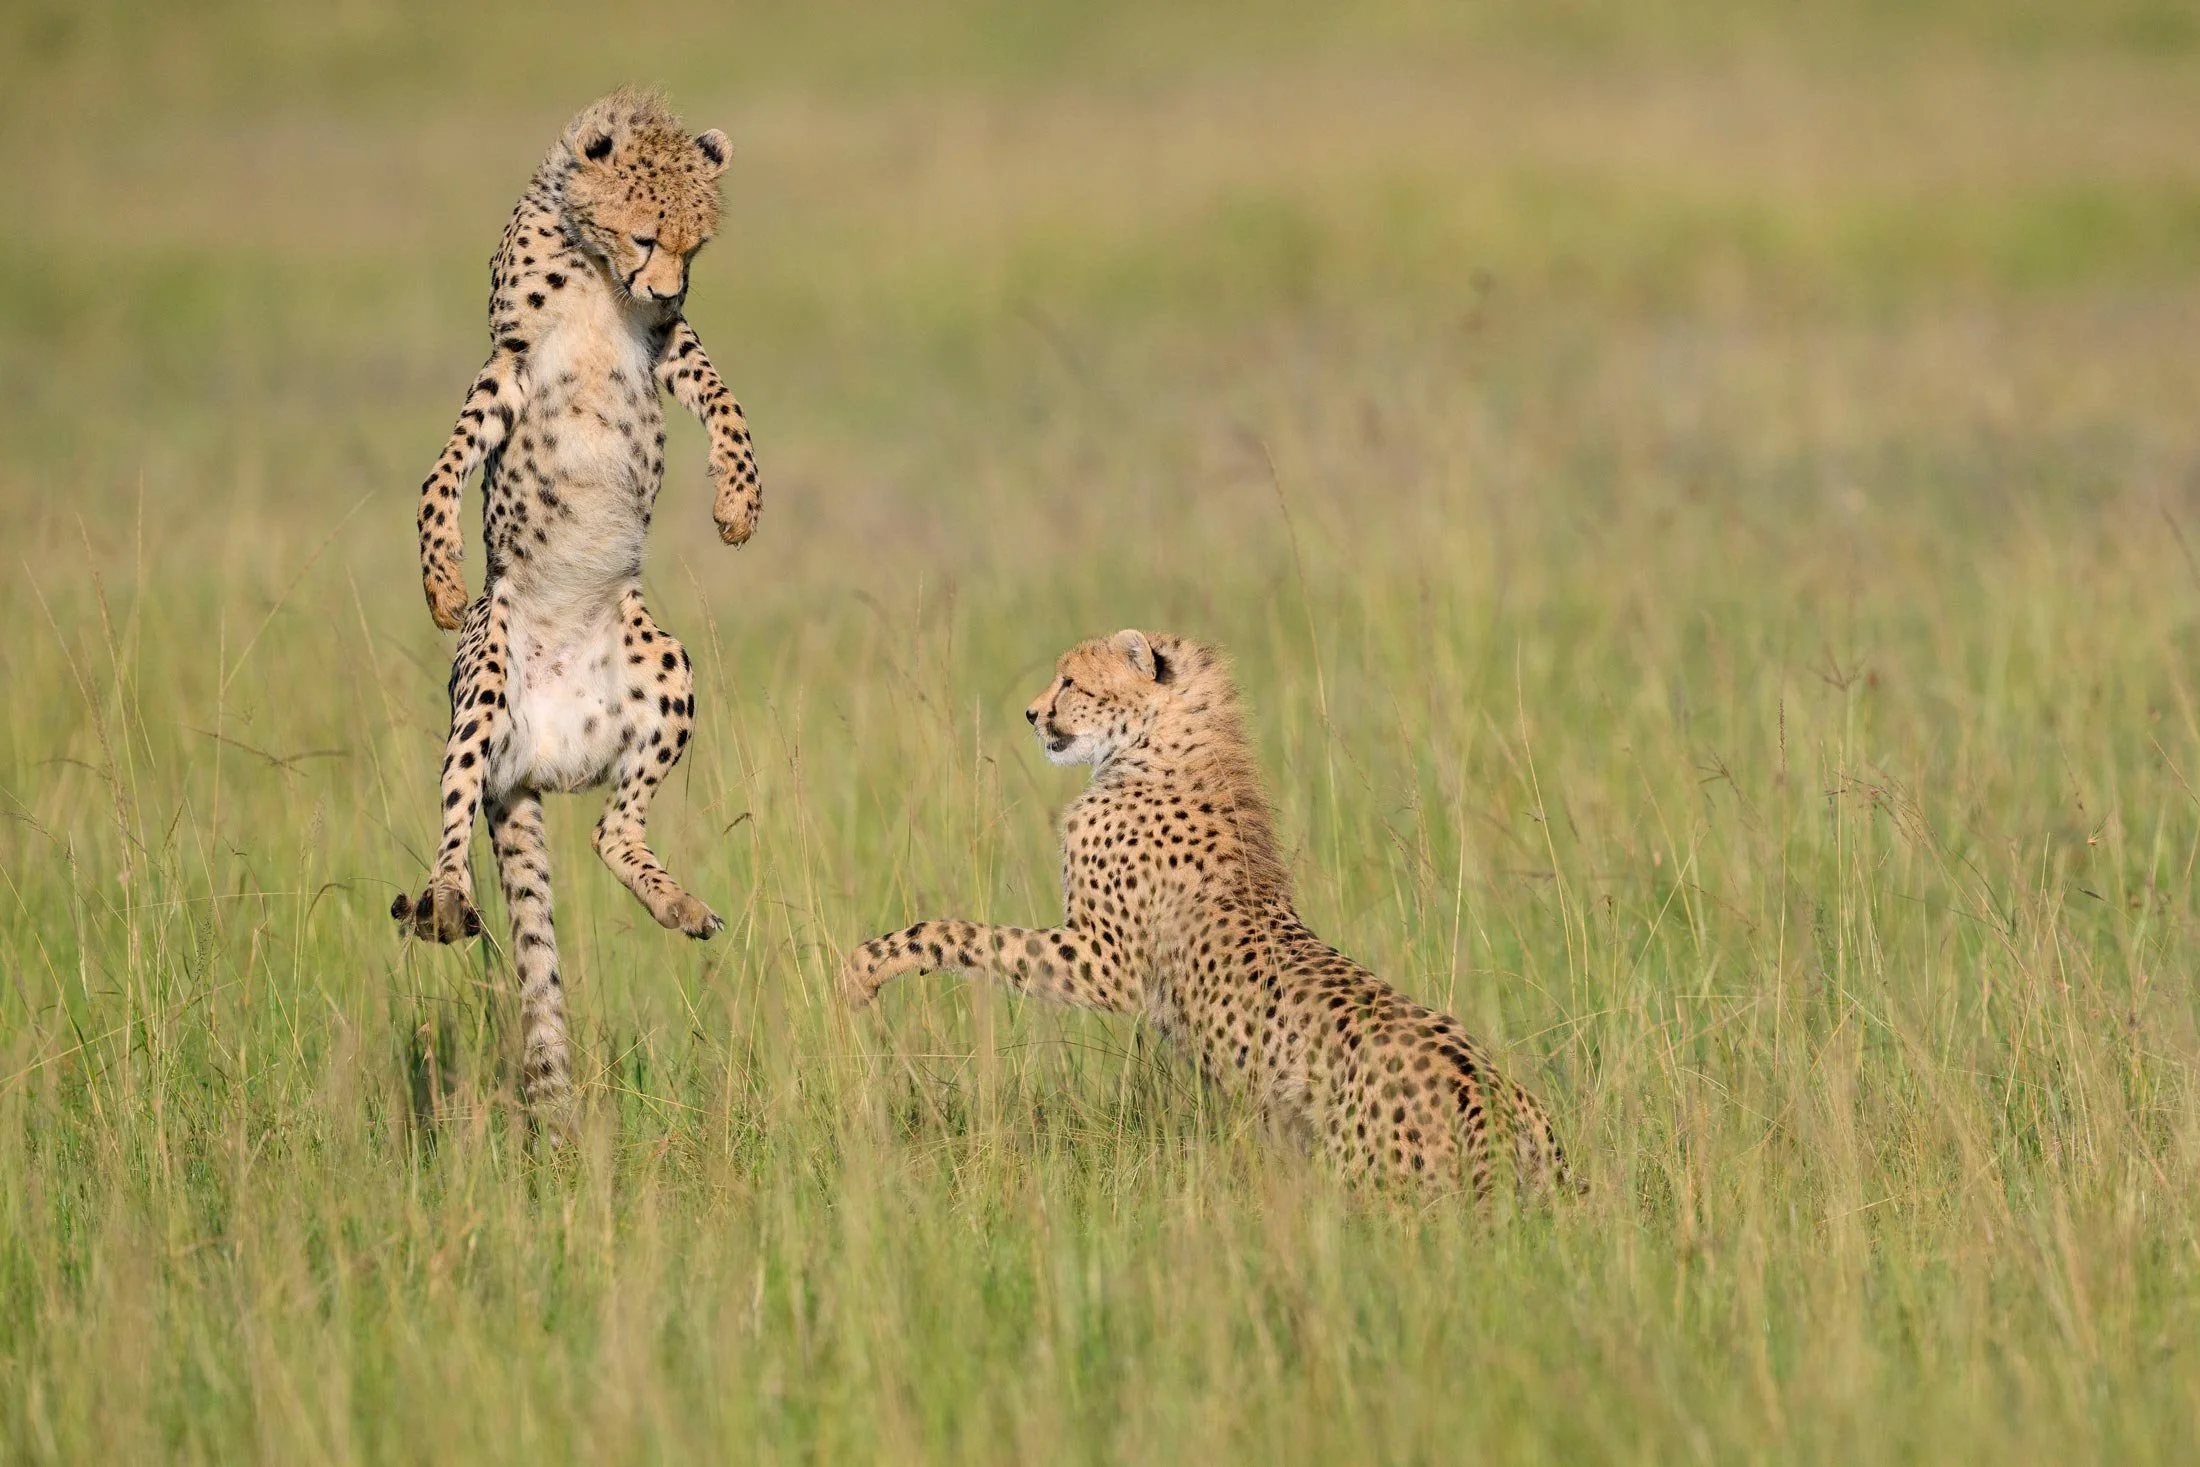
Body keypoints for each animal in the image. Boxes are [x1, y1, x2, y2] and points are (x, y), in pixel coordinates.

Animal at [389, 88, 762, 1133]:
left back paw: (680, 904)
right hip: (484, 681)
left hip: (664, 664)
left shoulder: (671, 344)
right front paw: (438, 574)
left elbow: (727, 403)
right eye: (644, 235)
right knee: (454, 810)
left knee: (610, 831)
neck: (602, 276)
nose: (664, 288)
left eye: (695, 244)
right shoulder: (512, 359)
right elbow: (444, 467)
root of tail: (541, 766)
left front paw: (739, 500)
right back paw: (442, 897)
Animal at [840, 630, 1576, 1200]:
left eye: (1070, 681)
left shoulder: (1102, 962)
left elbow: (965, 933)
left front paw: (869, 966)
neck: (1159, 747)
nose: (1029, 713)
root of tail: (1505, 1097)